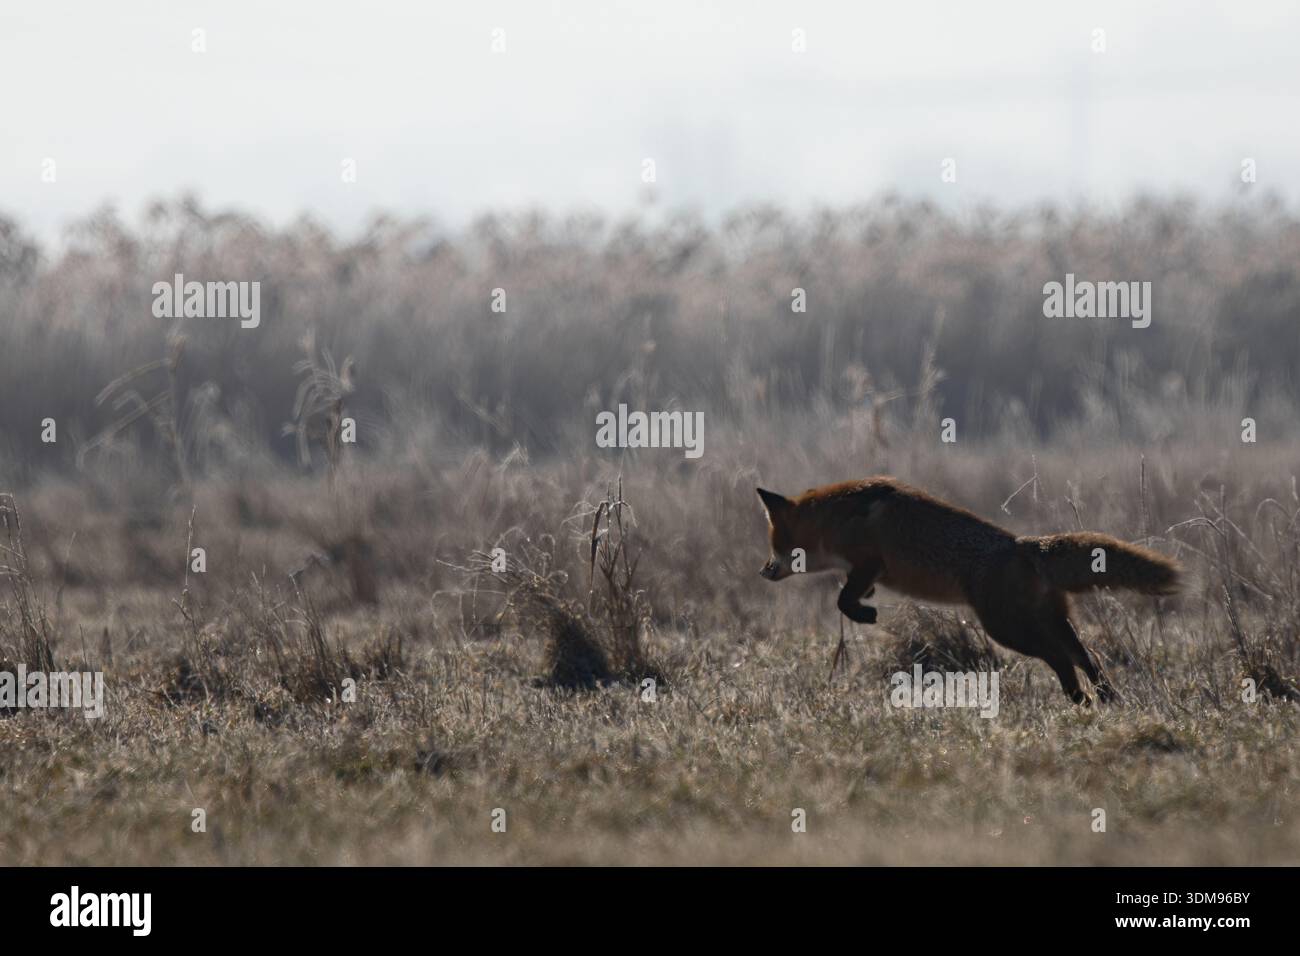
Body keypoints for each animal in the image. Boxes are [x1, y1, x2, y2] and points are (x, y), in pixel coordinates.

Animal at [756, 477, 1181, 705]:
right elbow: (850, 594)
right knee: (1085, 655)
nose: (763, 571)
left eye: (775, 544)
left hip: (1007, 630)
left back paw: (1080, 698)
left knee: (1061, 658)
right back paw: (1106, 696)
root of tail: (1022, 545)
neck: (834, 518)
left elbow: (843, 600)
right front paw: (868, 604)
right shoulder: (865, 570)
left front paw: (865, 613)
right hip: (1050, 622)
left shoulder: (869, 561)